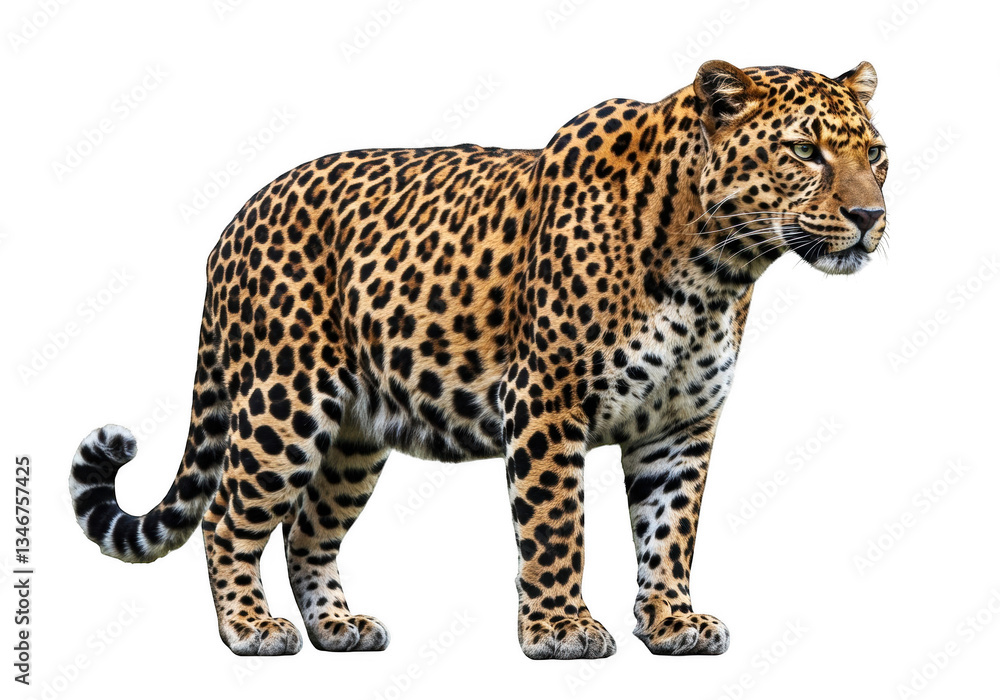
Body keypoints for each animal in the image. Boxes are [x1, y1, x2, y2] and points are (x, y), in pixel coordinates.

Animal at [69, 60, 888, 659]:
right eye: (805, 151)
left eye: (875, 155)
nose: (870, 216)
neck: (715, 270)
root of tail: (235, 221)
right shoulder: (548, 401)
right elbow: (557, 523)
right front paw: (561, 630)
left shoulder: (681, 426)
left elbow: (670, 529)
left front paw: (672, 622)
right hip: (286, 405)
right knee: (227, 516)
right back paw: (250, 628)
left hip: (355, 438)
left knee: (307, 530)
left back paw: (338, 627)